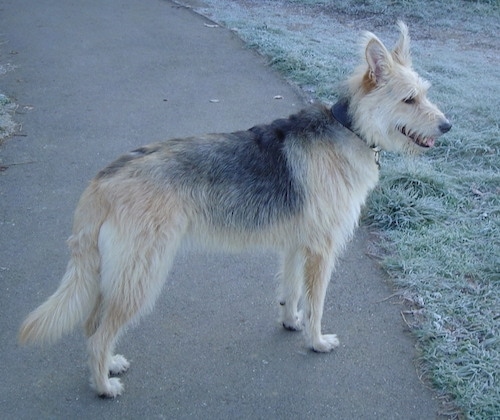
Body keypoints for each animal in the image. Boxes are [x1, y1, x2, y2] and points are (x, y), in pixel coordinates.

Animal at [18, 23, 450, 398]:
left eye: (425, 93)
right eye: (409, 99)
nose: (447, 126)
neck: (349, 129)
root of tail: (104, 179)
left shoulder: (296, 244)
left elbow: (291, 291)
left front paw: (290, 322)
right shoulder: (322, 250)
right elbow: (316, 304)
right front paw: (315, 341)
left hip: (116, 273)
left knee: (92, 324)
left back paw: (109, 365)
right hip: (140, 274)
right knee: (97, 335)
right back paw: (103, 385)